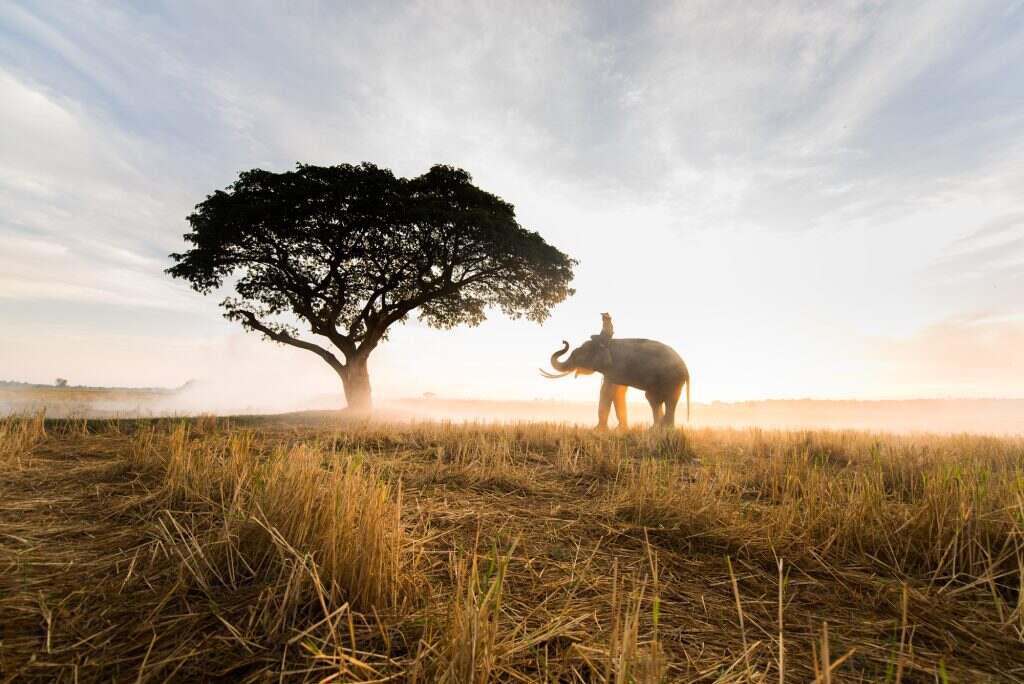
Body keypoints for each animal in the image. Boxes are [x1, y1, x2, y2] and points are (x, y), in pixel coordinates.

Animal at [540, 314, 690, 429]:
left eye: (578, 355)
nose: (564, 341)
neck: (606, 344)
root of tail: (686, 370)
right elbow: (618, 392)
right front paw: (619, 429)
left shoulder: (616, 367)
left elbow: (607, 391)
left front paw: (598, 430)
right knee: (654, 399)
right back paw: (657, 429)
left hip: (672, 379)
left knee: (667, 399)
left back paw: (664, 430)